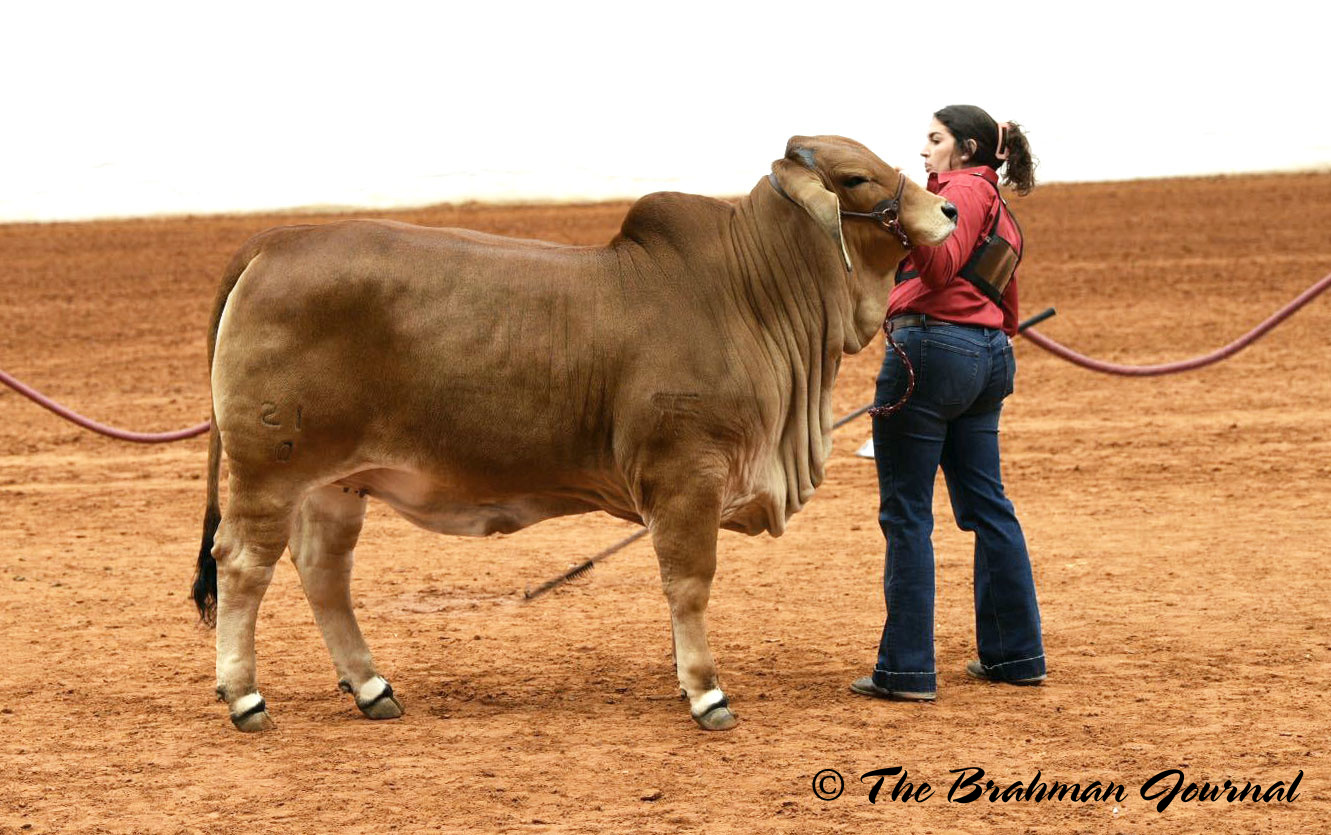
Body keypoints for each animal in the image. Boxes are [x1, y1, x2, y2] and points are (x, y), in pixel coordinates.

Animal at [192, 135, 957, 732]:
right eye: (856, 176)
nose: (949, 211)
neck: (749, 295)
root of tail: (274, 241)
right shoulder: (687, 474)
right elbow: (689, 583)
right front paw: (706, 691)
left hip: (335, 483)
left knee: (323, 572)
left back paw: (372, 686)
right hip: (269, 470)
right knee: (242, 565)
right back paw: (246, 697)